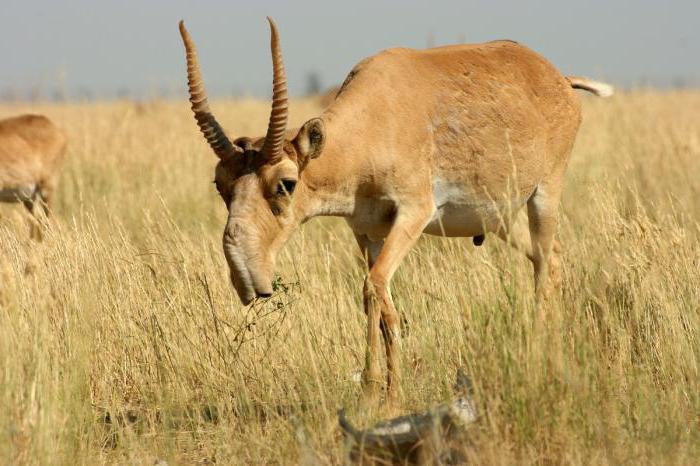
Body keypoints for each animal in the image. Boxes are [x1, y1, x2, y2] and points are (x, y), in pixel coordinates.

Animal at [179, 18, 612, 400]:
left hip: (545, 194)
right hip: (502, 219)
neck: (375, 122)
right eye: (221, 184)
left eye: (286, 183)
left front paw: (380, 395)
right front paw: (383, 394)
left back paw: (542, 358)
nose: (247, 277)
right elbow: (377, 300)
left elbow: (374, 288)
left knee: (546, 266)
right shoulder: (367, 231)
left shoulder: (413, 214)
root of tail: (558, 78)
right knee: (548, 258)